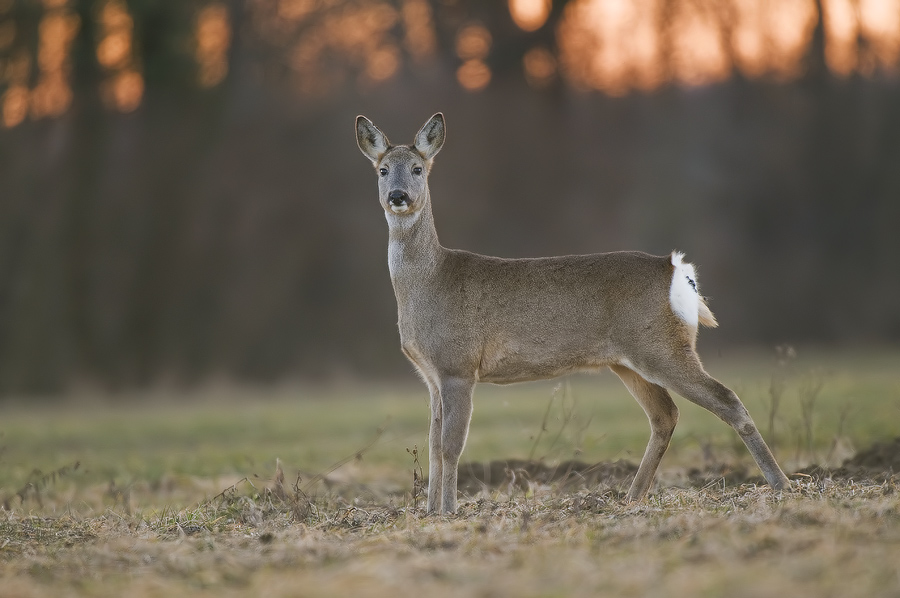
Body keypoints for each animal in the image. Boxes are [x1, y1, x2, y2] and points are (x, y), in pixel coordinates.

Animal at [356, 113, 792, 516]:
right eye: (382, 170)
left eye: (417, 169)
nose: (398, 195)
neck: (430, 281)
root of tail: (676, 270)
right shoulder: (431, 375)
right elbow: (432, 444)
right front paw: (430, 511)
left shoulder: (458, 365)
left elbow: (450, 445)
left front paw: (448, 511)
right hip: (628, 360)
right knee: (665, 415)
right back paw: (632, 497)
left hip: (661, 347)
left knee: (726, 398)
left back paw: (782, 484)